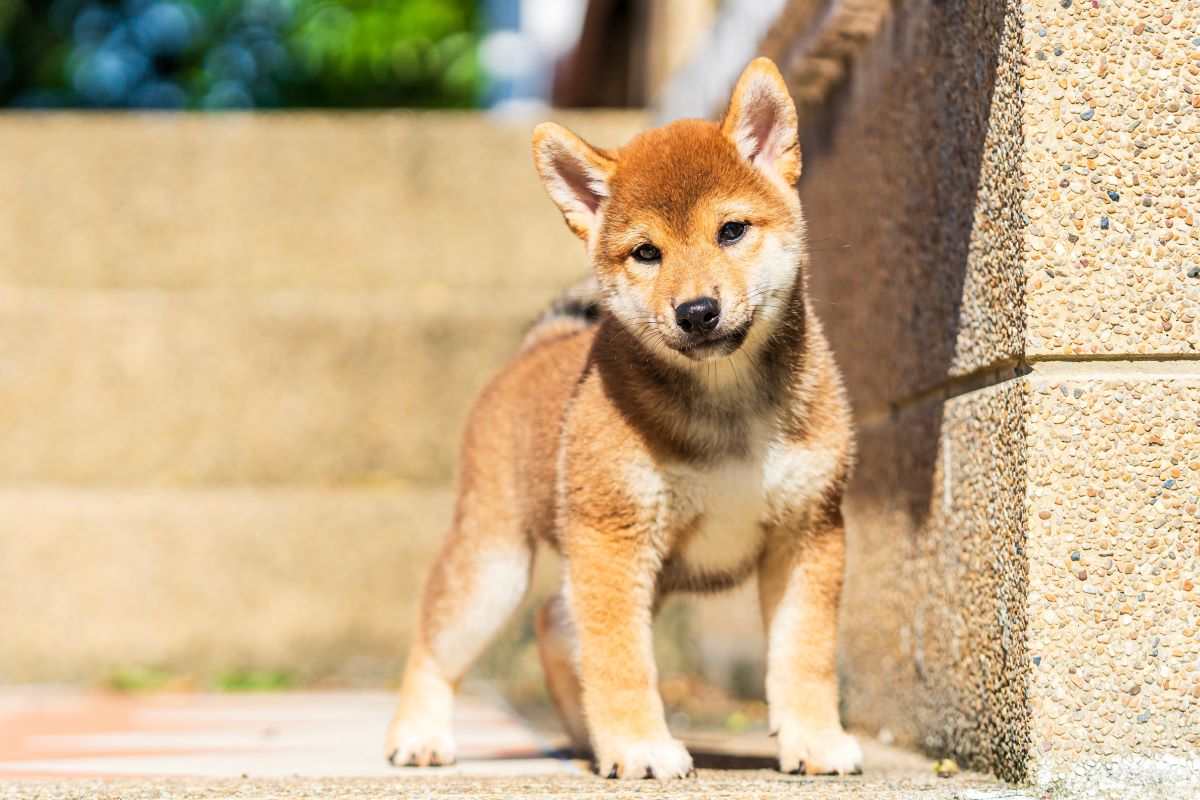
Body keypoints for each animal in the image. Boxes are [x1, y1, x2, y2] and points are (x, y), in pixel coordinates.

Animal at [386, 57, 864, 782]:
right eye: (646, 253)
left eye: (731, 230)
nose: (696, 311)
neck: (727, 405)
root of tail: (536, 349)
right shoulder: (613, 538)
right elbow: (621, 660)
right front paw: (640, 745)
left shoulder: (808, 532)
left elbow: (804, 654)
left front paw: (814, 739)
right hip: (495, 562)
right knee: (441, 641)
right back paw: (419, 734)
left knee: (555, 623)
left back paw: (584, 735)